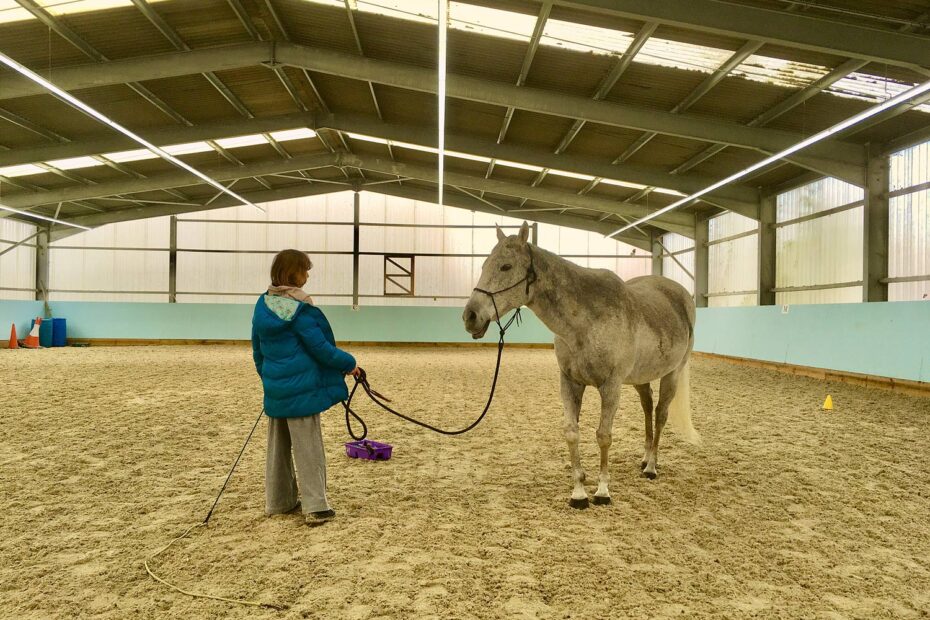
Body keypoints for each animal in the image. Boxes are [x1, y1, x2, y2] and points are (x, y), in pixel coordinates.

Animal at [460, 223, 700, 508]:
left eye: (505, 266)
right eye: (484, 265)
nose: (470, 316)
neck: (586, 321)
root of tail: (681, 294)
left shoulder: (611, 386)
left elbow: (603, 436)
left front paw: (602, 491)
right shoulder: (570, 382)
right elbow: (572, 432)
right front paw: (578, 492)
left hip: (672, 373)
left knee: (661, 414)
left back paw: (651, 466)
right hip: (641, 377)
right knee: (647, 408)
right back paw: (644, 458)